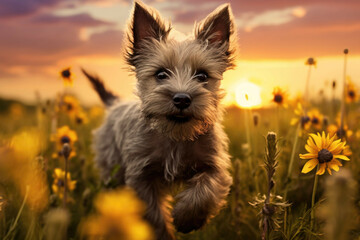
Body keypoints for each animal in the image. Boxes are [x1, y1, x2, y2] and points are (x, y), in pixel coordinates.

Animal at [83, 1, 236, 238]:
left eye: (202, 76)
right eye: (161, 74)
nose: (182, 98)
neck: (176, 136)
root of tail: (115, 103)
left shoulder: (214, 164)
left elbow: (206, 190)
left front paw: (186, 218)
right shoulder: (142, 177)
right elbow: (153, 215)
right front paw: (164, 232)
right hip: (112, 164)